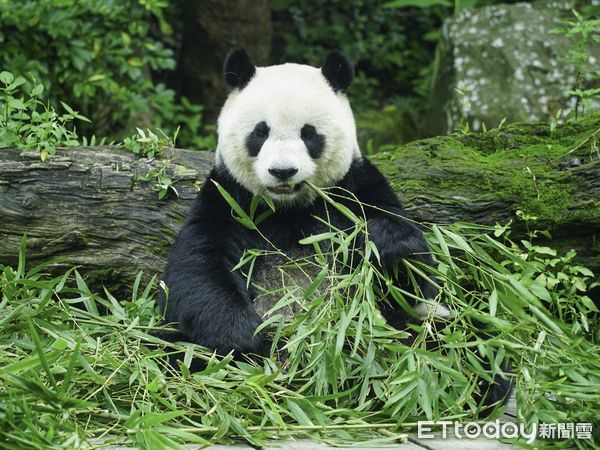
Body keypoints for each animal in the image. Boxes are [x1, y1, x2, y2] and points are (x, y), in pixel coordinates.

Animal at [157, 48, 508, 412]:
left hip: (405, 331)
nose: (283, 171)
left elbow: (413, 278)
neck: (289, 208)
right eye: (260, 132)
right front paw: (244, 336)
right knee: (169, 350)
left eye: (309, 133)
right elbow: (198, 269)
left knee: (466, 344)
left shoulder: (356, 189)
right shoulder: (229, 199)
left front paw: (384, 242)